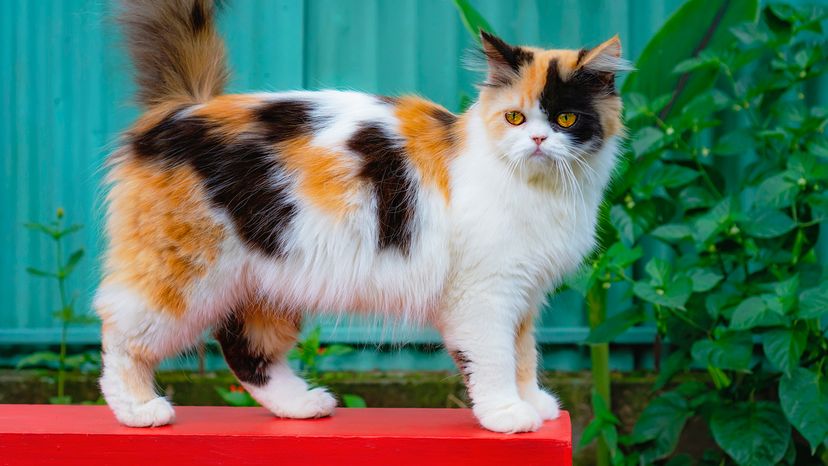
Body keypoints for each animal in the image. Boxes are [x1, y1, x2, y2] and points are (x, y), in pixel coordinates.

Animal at [95, 0, 628, 434]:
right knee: (120, 334)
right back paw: (139, 410)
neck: (540, 189)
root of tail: (185, 108)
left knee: (244, 351)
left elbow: (524, 353)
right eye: (515, 118)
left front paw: (533, 402)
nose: (537, 141)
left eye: (565, 119)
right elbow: (496, 358)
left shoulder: (524, 294)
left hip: (266, 280)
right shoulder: (485, 295)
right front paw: (507, 414)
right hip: (184, 275)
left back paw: (301, 406)